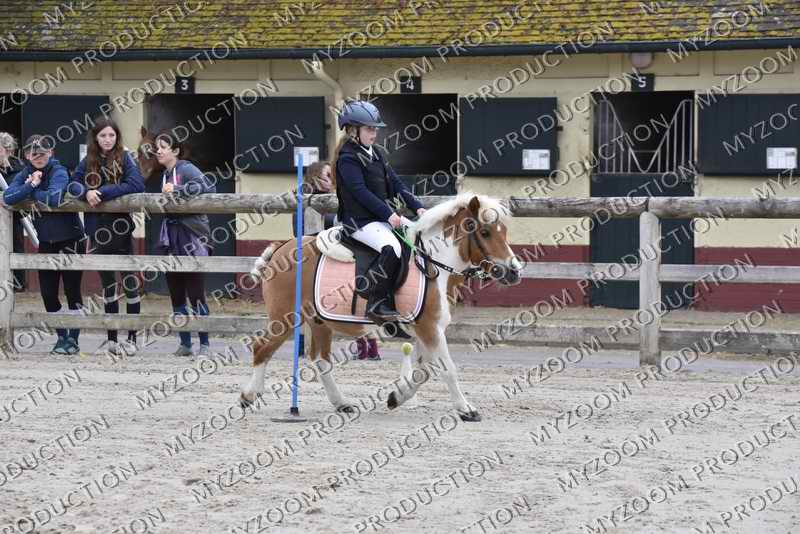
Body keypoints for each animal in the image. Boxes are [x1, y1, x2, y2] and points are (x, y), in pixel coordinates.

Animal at [240, 193, 522, 422]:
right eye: (485, 233)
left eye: (504, 232)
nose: (514, 271)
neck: (435, 263)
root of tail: (282, 247)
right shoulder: (430, 328)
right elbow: (447, 369)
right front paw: (466, 409)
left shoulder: (424, 330)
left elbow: (423, 372)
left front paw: (397, 397)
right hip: (285, 318)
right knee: (262, 348)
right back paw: (249, 395)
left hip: (319, 321)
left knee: (320, 360)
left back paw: (341, 403)